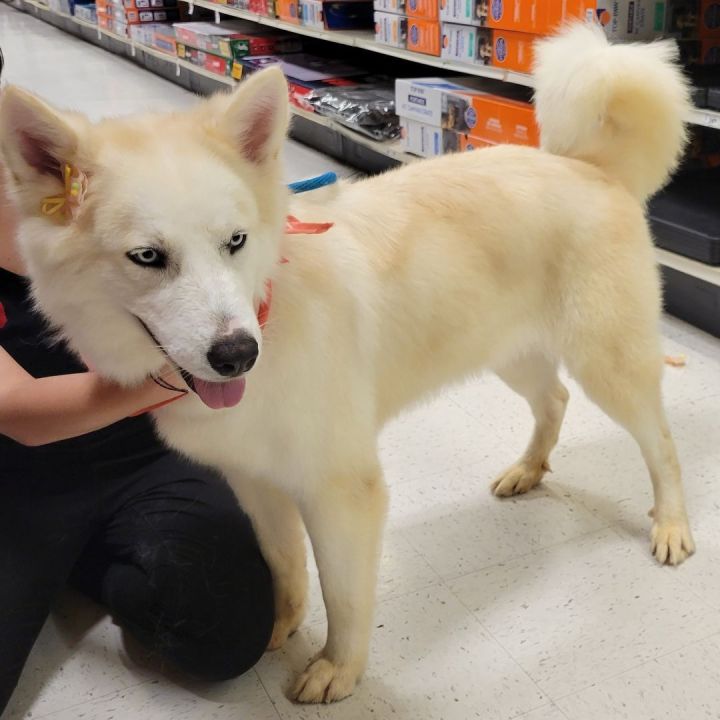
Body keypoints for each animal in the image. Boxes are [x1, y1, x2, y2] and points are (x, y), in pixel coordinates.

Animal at [1, 23, 696, 704]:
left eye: (235, 242)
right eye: (147, 257)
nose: (238, 355)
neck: (271, 312)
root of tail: (587, 166)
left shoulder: (341, 491)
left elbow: (344, 594)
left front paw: (339, 668)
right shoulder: (256, 484)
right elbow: (285, 566)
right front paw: (281, 627)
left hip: (606, 362)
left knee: (661, 444)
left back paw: (670, 524)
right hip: (508, 351)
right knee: (555, 401)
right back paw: (529, 470)